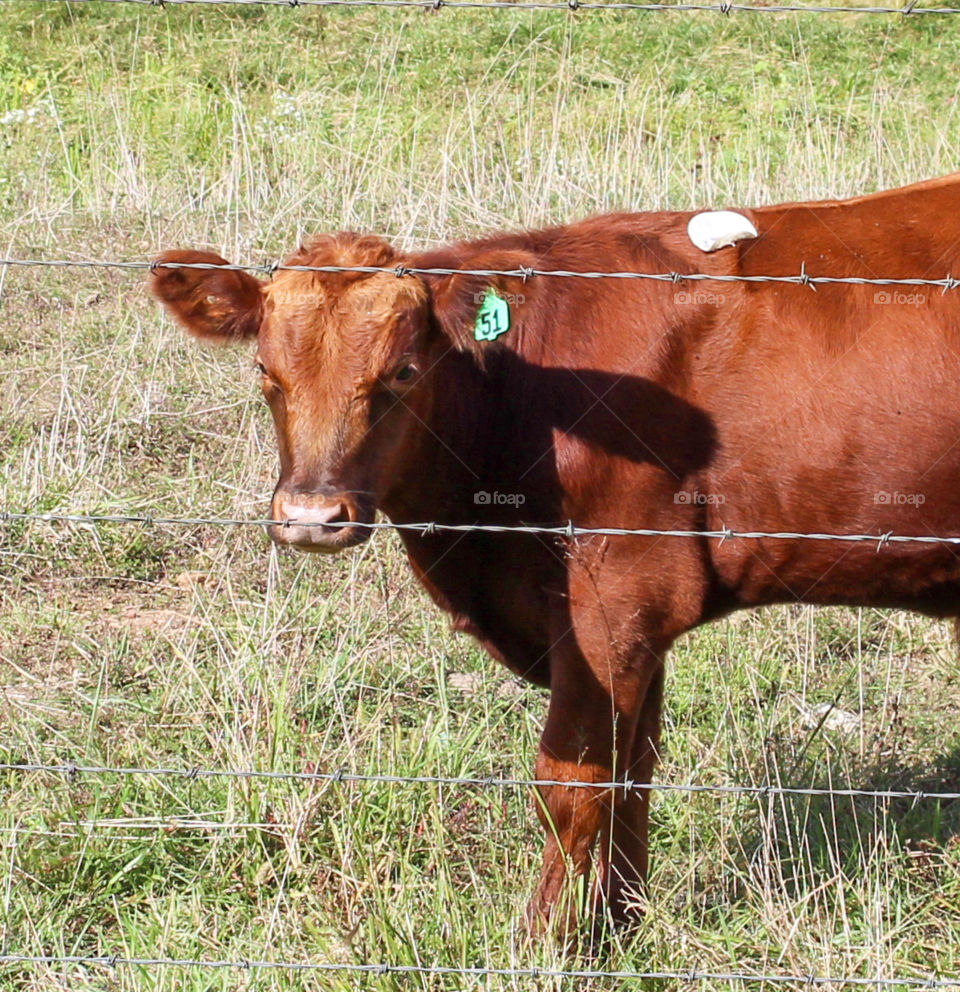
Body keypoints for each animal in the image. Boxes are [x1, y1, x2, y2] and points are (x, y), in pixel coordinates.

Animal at [150, 173, 960, 935]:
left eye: (404, 371)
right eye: (265, 372)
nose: (311, 517)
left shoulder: (619, 597)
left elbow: (572, 783)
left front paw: (549, 942)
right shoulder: (632, 622)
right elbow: (632, 766)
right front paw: (623, 924)